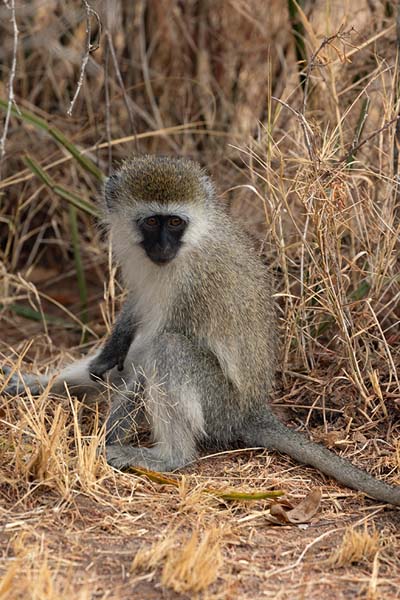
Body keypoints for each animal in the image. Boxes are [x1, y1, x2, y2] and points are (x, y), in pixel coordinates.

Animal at [1, 156, 398, 506]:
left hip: (218, 405)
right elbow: (133, 314)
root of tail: (251, 411)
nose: (163, 246)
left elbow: (148, 354)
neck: (187, 246)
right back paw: (29, 383)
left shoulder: (193, 284)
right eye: (152, 222)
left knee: (168, 348)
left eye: (176, 223)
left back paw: (169, 457)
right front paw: (106, 354)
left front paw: (103, 439)